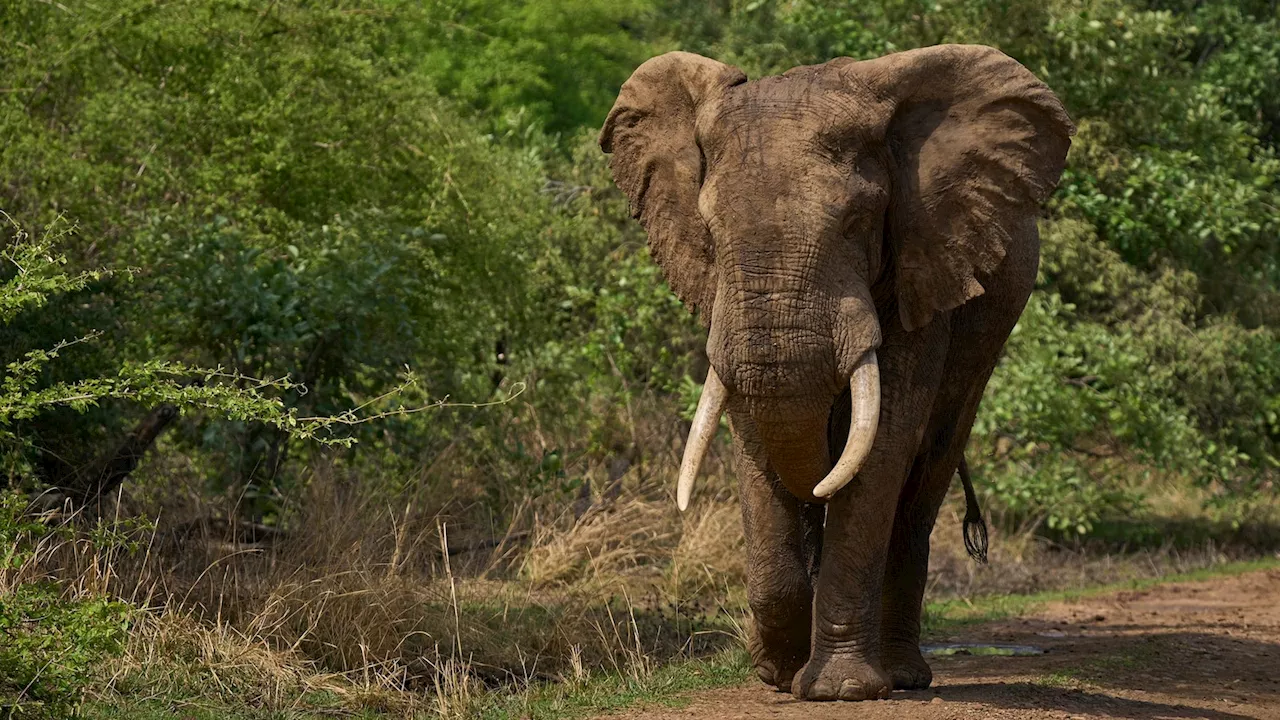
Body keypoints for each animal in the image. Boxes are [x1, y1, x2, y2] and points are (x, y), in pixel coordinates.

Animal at [599, 43, 1070, 696]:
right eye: (710, 232)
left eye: (856, 223)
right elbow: (753, 433)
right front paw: (776, 673)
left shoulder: (922, 264)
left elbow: (884, 442)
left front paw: (839, 689)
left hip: (985, 341)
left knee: (923, 481)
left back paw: (902, 675)